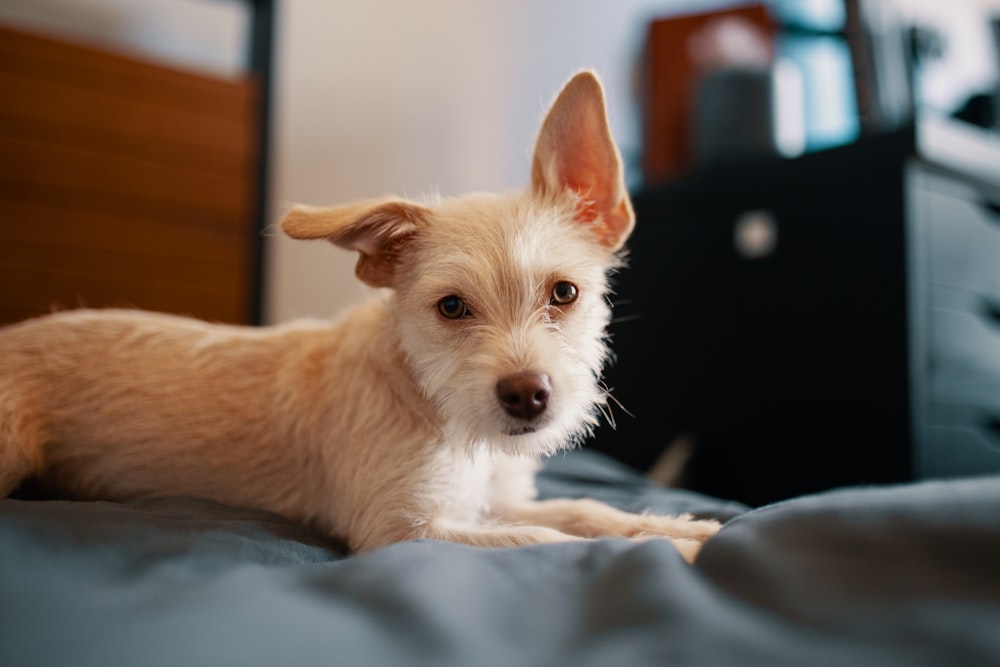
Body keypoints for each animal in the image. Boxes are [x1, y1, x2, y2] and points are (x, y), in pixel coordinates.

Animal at [0, 70, 720, 564]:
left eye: (564, 293)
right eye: (451, 307)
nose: (527, 396)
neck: (438, 411)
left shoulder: (496, 498)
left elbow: (585, 509)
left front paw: (681, 527)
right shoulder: (403, 530)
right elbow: (546, 538)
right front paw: (668, 550)